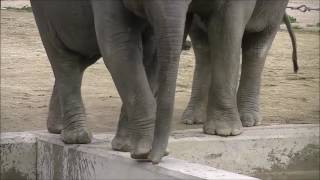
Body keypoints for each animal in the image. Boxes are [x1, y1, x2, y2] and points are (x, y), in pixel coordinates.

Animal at [30, 0, 190, 163]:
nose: (155, 159)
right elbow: (118, 49)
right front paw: (143, 152)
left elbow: (151, 54)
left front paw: (127, 148)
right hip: (42, 12)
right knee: (62, 58)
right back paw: (77, 137)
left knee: (82, 59)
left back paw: (57, 129)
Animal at [181, 0, 298, 136]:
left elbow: (226, 30)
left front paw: (224, 132)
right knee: (203, 46)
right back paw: (191, 120)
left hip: (276, 9)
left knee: (258, 44)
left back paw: (248, 121)